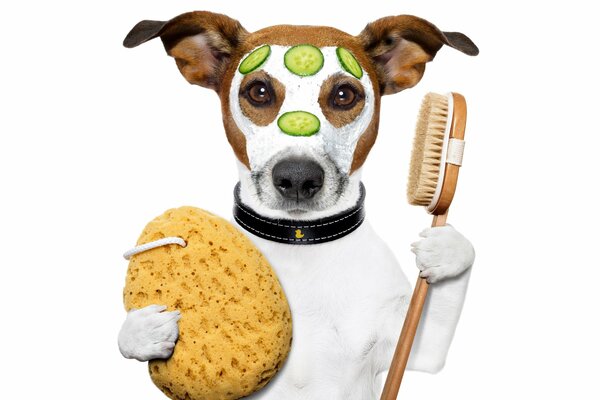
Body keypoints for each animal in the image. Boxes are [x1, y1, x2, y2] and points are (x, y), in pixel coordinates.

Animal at [118, 10, 478, 398]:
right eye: (258, 91)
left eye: (344, 94)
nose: (298, 177)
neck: (299, 241)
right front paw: (143, 330)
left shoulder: (410, 344)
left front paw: (447, 249)